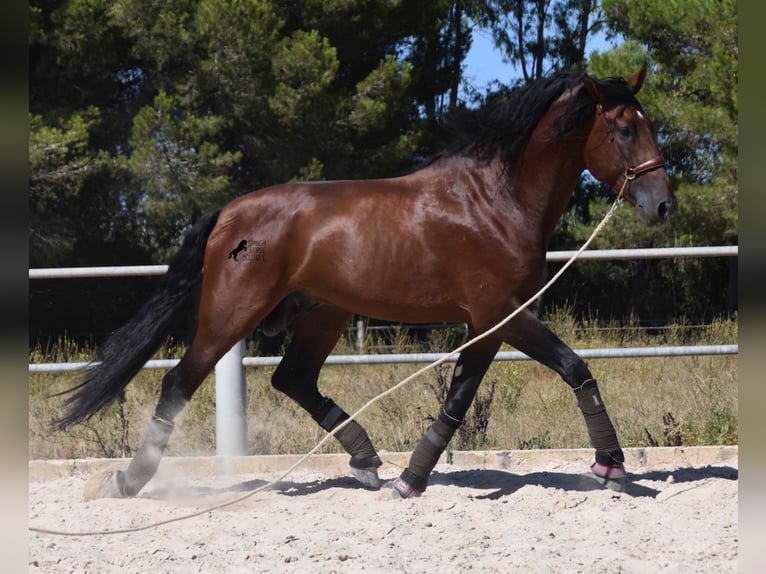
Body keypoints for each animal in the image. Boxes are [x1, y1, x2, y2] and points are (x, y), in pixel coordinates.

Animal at [55, 66, 680, 500]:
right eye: (626, 129)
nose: (663, 206)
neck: (496, 201)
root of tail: (229, 214)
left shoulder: (487, 323)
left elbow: (458, 398)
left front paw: (412, 479)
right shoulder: (502, 313)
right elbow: (572, 367)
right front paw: (611, 465)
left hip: (322, 314)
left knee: (293, 380)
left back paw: (366, 463)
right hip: (231, 315)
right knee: (179, 384)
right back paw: (129, 482)